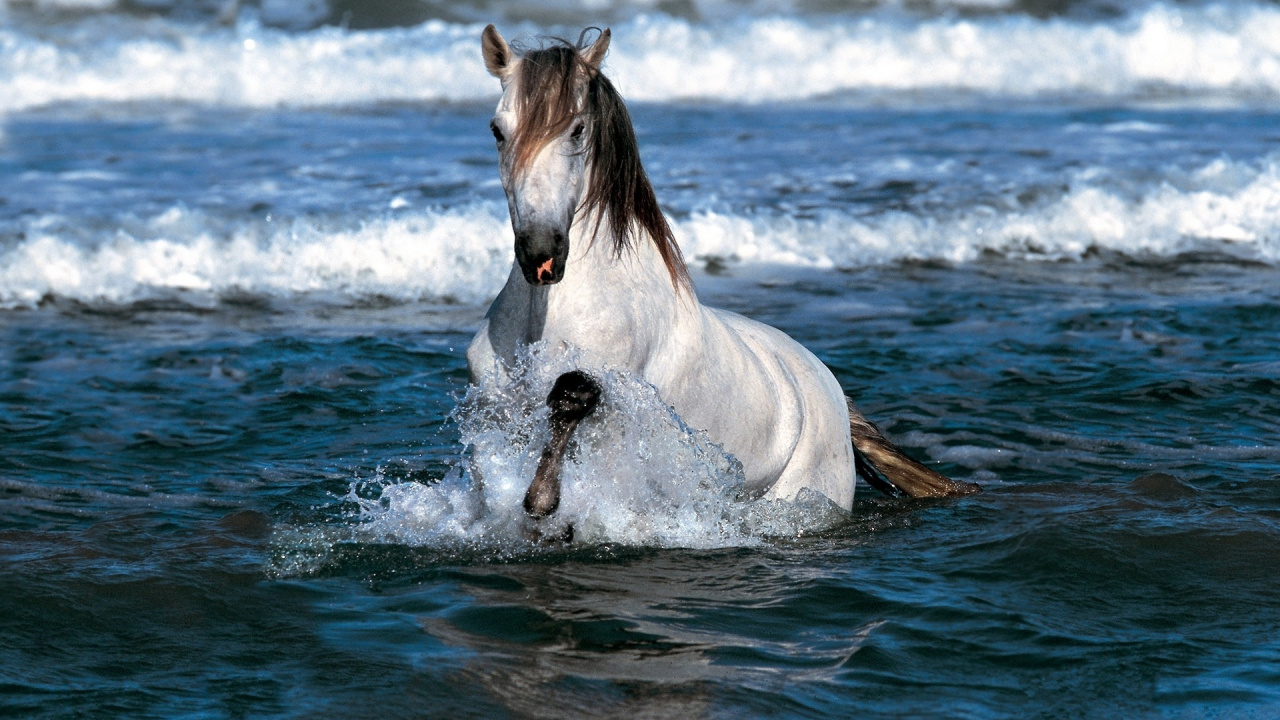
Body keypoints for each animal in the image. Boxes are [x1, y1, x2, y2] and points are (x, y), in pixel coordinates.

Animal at [466, 25, 979, 523]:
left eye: (577, 130)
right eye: (496, 130)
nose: (541, 254)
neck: (548, 315)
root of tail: (831, 390)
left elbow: (573, 396)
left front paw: (542, 501)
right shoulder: (495, 408)